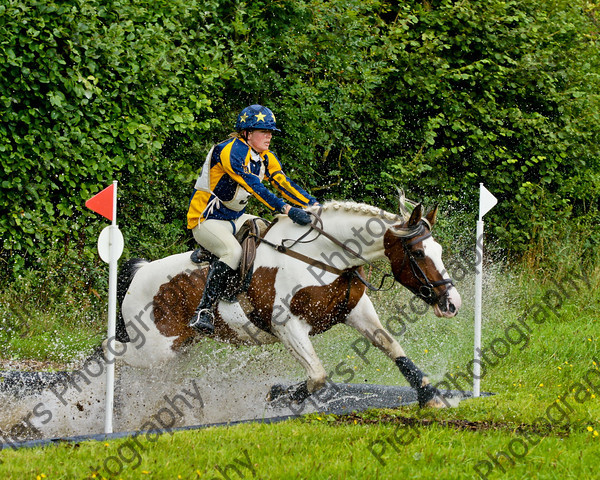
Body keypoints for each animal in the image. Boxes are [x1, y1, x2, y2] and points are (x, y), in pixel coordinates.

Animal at [115, 195, 464, 408]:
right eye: (417, 253)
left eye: (438, 250)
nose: (452, 303)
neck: (324, 255)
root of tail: (139, 273)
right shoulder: (288, 327)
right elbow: (317, 376)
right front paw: (280, 395)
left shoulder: (356, 312)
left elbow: (393, 348)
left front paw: (430, 396)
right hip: (155, 351)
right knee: (114, 357)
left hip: (178, 353)